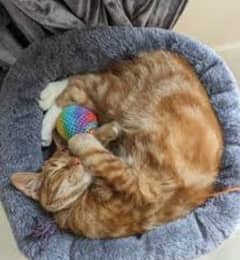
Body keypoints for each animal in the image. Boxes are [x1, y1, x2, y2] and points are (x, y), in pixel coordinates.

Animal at [11, 49, 225, 239]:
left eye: (68, 157)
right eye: (57, 171)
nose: (76, 161)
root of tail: (174, 55)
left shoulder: (139, 188)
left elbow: (94, 144)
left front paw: (82, 139)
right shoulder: (136, 186)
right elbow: (98, 150)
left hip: (113, 97)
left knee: (79, 83)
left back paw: (48, 109)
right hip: (113, 96)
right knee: (81, 82)